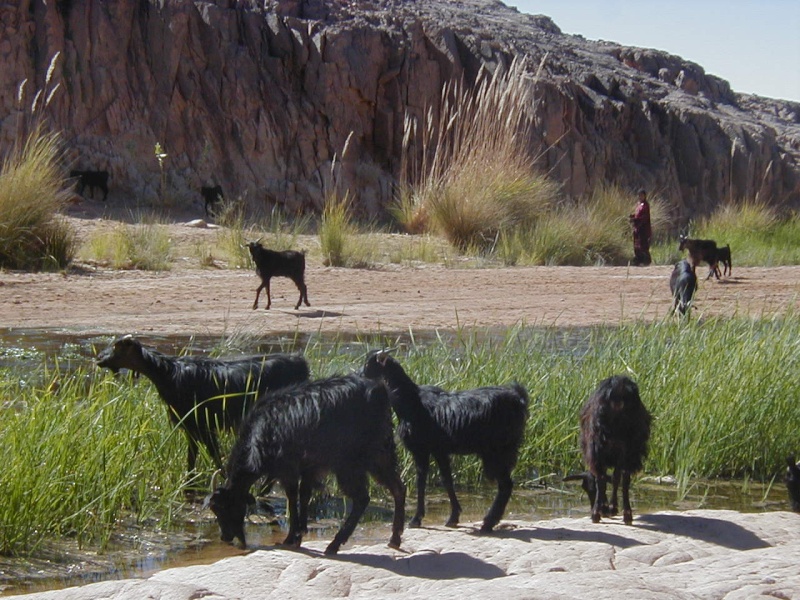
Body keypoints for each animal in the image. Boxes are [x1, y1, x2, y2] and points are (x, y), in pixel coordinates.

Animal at [97, 336, 310, 476]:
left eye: (116, 347)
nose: (99, 358)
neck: (167, 373)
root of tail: (301, 363)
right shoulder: (192, 426)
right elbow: (192, 458)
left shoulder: (201, 424)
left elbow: (214, 456)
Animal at [208, 372, 406, 556]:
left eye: (221, 507)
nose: (224, 537)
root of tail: (380, 391)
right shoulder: (310, 467)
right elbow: (304, 495)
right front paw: (300, 533)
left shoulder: (288, 468)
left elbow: (292, 496)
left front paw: (291, 537)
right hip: (380, 453)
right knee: (398, 487)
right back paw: (395, 538)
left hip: (348, 462)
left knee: (362, 498)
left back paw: (334, 544)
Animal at [364, 350, 532, 532]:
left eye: (368, 364)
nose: (360, 376)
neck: (410, 401)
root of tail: (519, 399)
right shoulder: (439, 450)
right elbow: (447, 480)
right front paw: (453, 517)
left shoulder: (421, 449)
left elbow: (421, 481)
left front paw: (416, 519)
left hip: (497, 450)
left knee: (505, 485)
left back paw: (488, 522)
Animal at [580, 376, 648, 524]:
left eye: (587, 488)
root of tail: (618, 388)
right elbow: (616, 478)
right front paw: (611, 507)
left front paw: (607, 508)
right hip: (628, 447)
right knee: (623, 478)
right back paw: (626, 514)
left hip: (599, 445)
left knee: (602, 478)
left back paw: (597, 513)